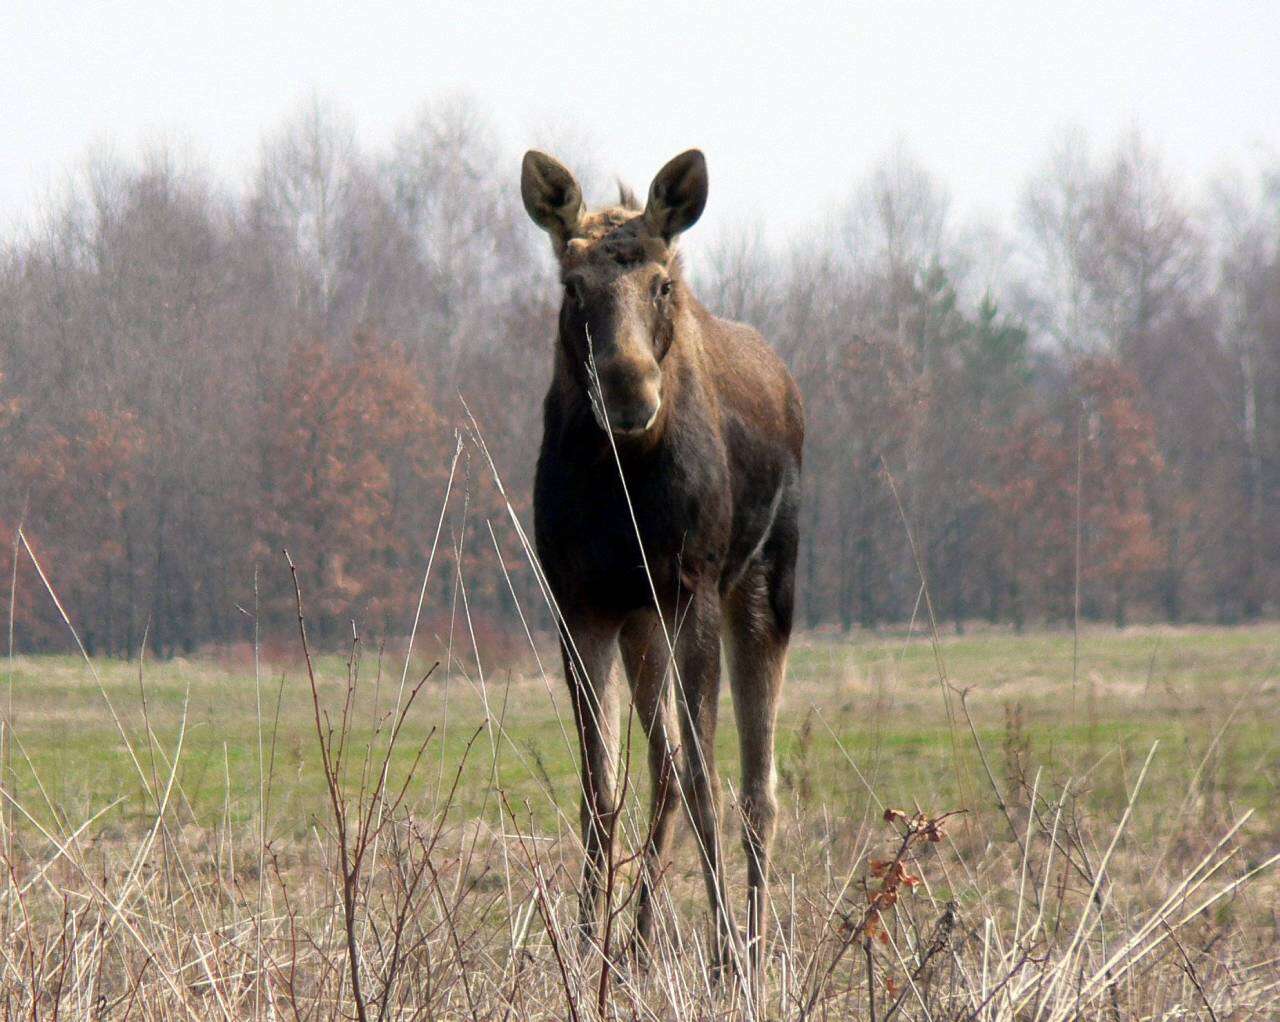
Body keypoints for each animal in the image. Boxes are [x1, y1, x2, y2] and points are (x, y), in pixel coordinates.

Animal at [517, 149, 798, 978]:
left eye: (661, 283)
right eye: (571, 286)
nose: (628, 388)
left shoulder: (691, 588)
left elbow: (710, 780)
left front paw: (726, 951)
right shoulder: (580, 602)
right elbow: (600, 785)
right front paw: (586, 949)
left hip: (765, 584)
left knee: (757, 787)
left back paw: (753, 942)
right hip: (643, 622)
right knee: (664, 765)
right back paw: (638, 942)